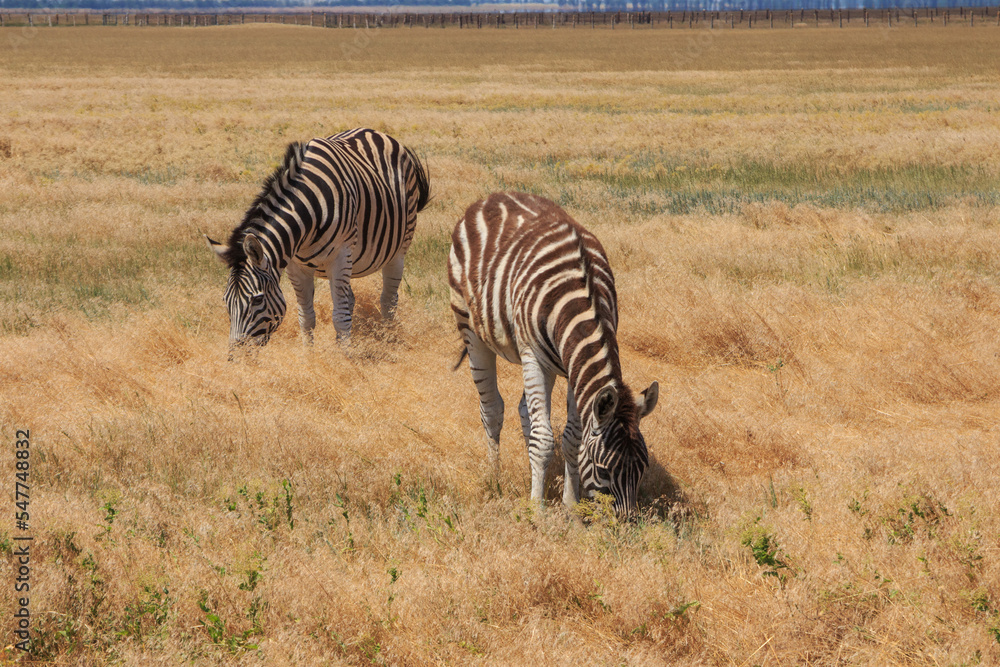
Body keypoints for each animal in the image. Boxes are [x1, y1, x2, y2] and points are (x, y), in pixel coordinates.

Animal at [205, 128, 430, 352]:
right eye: (226, 300)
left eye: (257, 299)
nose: (236, 356)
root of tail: (373, 131)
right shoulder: (296, 266)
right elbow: (306, 318)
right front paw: (311, 355)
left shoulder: (340, 257)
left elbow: (340, 318)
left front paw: (345, 358)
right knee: (351, 300)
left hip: (397, 250)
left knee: (388, 301)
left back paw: (389, 341)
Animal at [448, 192, 659, 519]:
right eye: (603, 470)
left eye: (642, 468)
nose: (627, 524)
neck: (584, 302)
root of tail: (493, 197)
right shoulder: (534, 358)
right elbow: (544, 438)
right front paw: (537, 510)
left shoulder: (575, 367)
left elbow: (571, 437)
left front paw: (569, 505)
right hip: (472, 331)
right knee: (492, 410)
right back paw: (495, 479)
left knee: (525, 412)